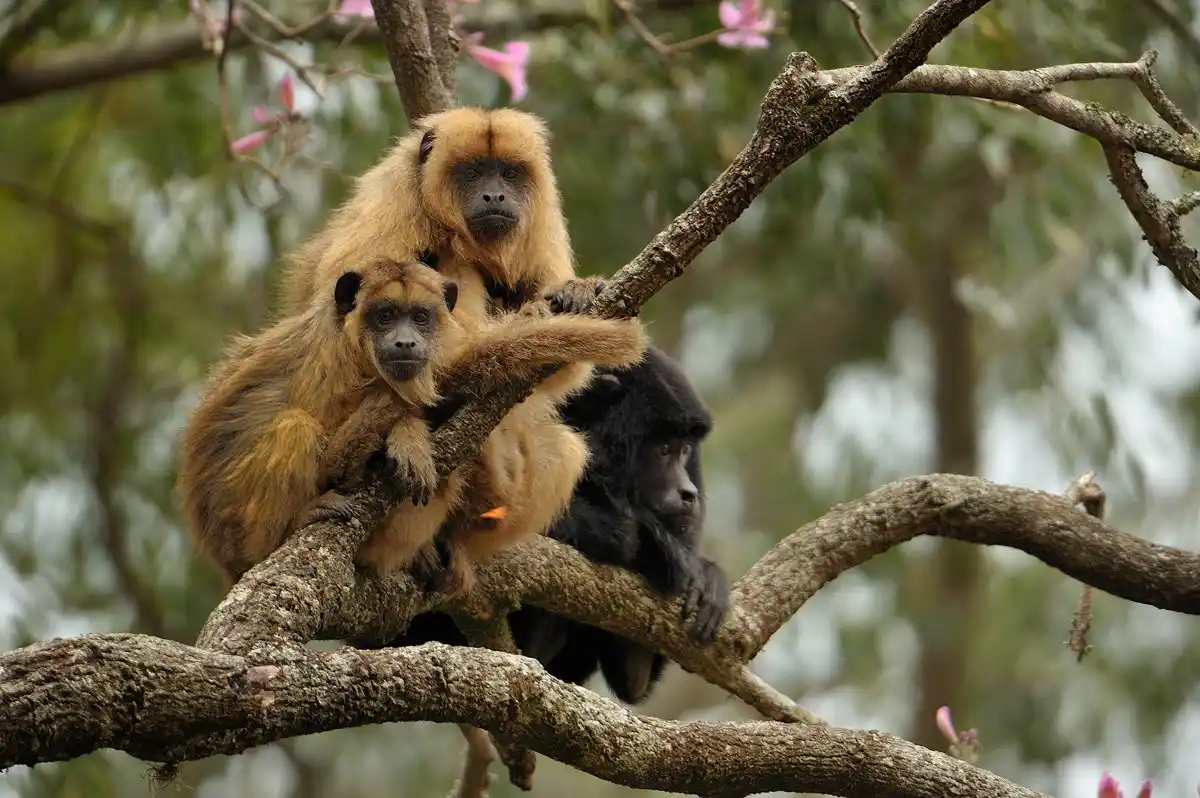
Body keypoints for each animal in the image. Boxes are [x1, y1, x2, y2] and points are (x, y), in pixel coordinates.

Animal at [176, 257, 647, 585]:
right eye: (385, 315)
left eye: (420, 317)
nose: (406, 342)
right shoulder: (328, 360)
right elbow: (334, 461)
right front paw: (405, 433)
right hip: (237, 533)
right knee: (294, 427)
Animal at [373, 345, 730, 705]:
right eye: (664, 450)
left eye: (685, 450)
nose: (688, 492)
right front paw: (651, 543)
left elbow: (633, 680)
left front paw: (705, 575)